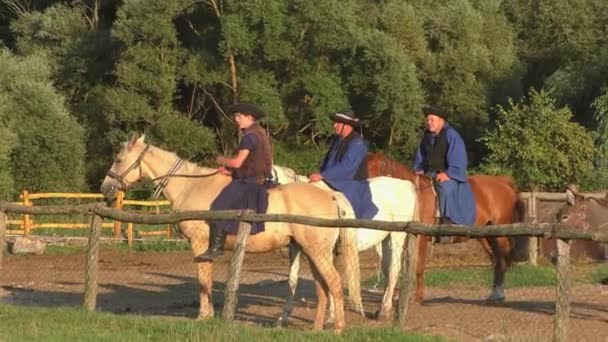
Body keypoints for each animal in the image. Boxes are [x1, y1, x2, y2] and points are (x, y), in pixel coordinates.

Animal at [100, 135, 356, 332]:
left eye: (119, 159)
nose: (105, 188)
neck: (190, 186)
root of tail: (331, 195)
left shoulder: (200, 244)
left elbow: (203, 279)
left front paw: (204, 315)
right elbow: (206, 277)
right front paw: (208, 314)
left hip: (317, 252)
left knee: (334, 283)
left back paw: (338, 328)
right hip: (311, 252)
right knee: (322, 288)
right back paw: (316, 328)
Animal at [272, 164, 418, 322]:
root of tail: (407, 185)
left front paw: (331, 317)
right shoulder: (296, 248)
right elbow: (292, 279)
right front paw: (283, 318)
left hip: (397, 236)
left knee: (394, 269)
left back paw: (384, 311)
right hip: (384, 241)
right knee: (387, 269)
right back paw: (383, 309)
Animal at [366, 152, 528, 302]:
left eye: (380, 170)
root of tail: (504, 181)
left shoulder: (421, 237)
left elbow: (418, 266)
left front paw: (418, 298)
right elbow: (393, 266)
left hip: (500, 233)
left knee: (501, 260)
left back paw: (498, 294)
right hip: (487, 235)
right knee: (495, 259)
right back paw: (494, 294)